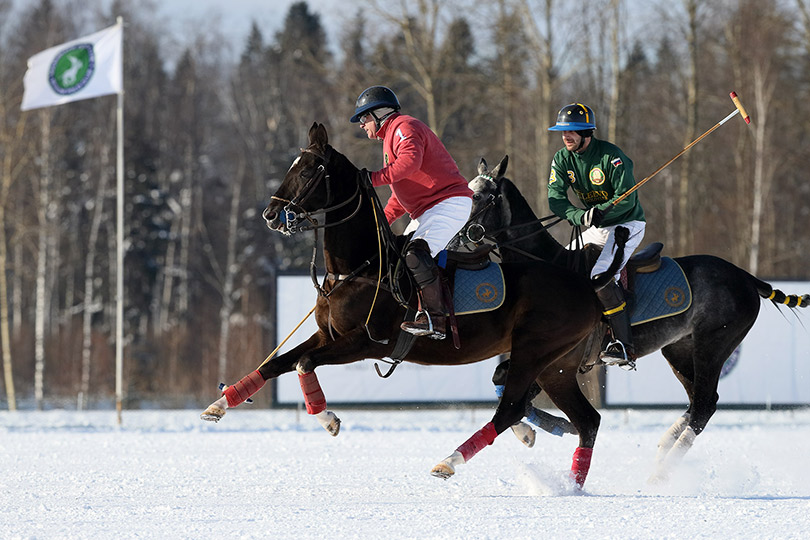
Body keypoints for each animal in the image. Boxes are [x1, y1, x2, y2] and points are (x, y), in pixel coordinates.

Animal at [200, 125, 624, 486]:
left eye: (307, 171)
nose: (271, 215)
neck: (361, 265)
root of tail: (586, 284)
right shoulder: (327, 335)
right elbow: (275, 364)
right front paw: (220, 404)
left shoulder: (367, 342)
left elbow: (303, 363)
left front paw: (328, 419)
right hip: (557, 365)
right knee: (585, 420)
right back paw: (571, 484)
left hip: (534, 350)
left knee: (511, 409)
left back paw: (449, 461)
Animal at [454, 155, 808, 480]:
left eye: (480, 196)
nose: (458, 239)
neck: (549, 265)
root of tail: (746, 277)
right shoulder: (545, 357)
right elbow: (502, 380)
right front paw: (536, 430)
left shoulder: (556, 358)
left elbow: (514, 390)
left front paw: (540, 428)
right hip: (679, 349)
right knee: (702, 401)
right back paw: (664, 447)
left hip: (713, 343)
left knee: (704, 405)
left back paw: (663, 471)